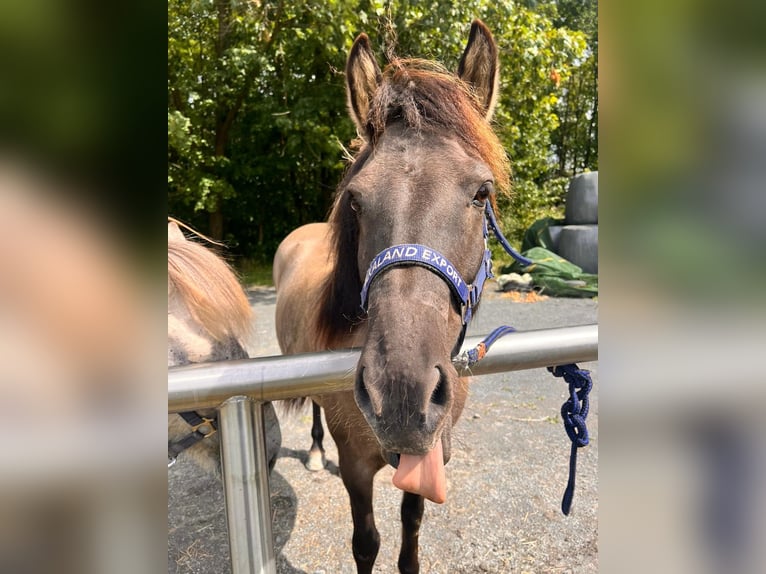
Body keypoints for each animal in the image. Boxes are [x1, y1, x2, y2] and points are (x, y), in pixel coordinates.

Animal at [272, 20, 512, 572]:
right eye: (355, 200)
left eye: (482, 193)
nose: (401, 393)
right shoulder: (357, 467)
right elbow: (367, 542)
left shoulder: (426, 458)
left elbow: (411, 530)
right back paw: (314, 453)